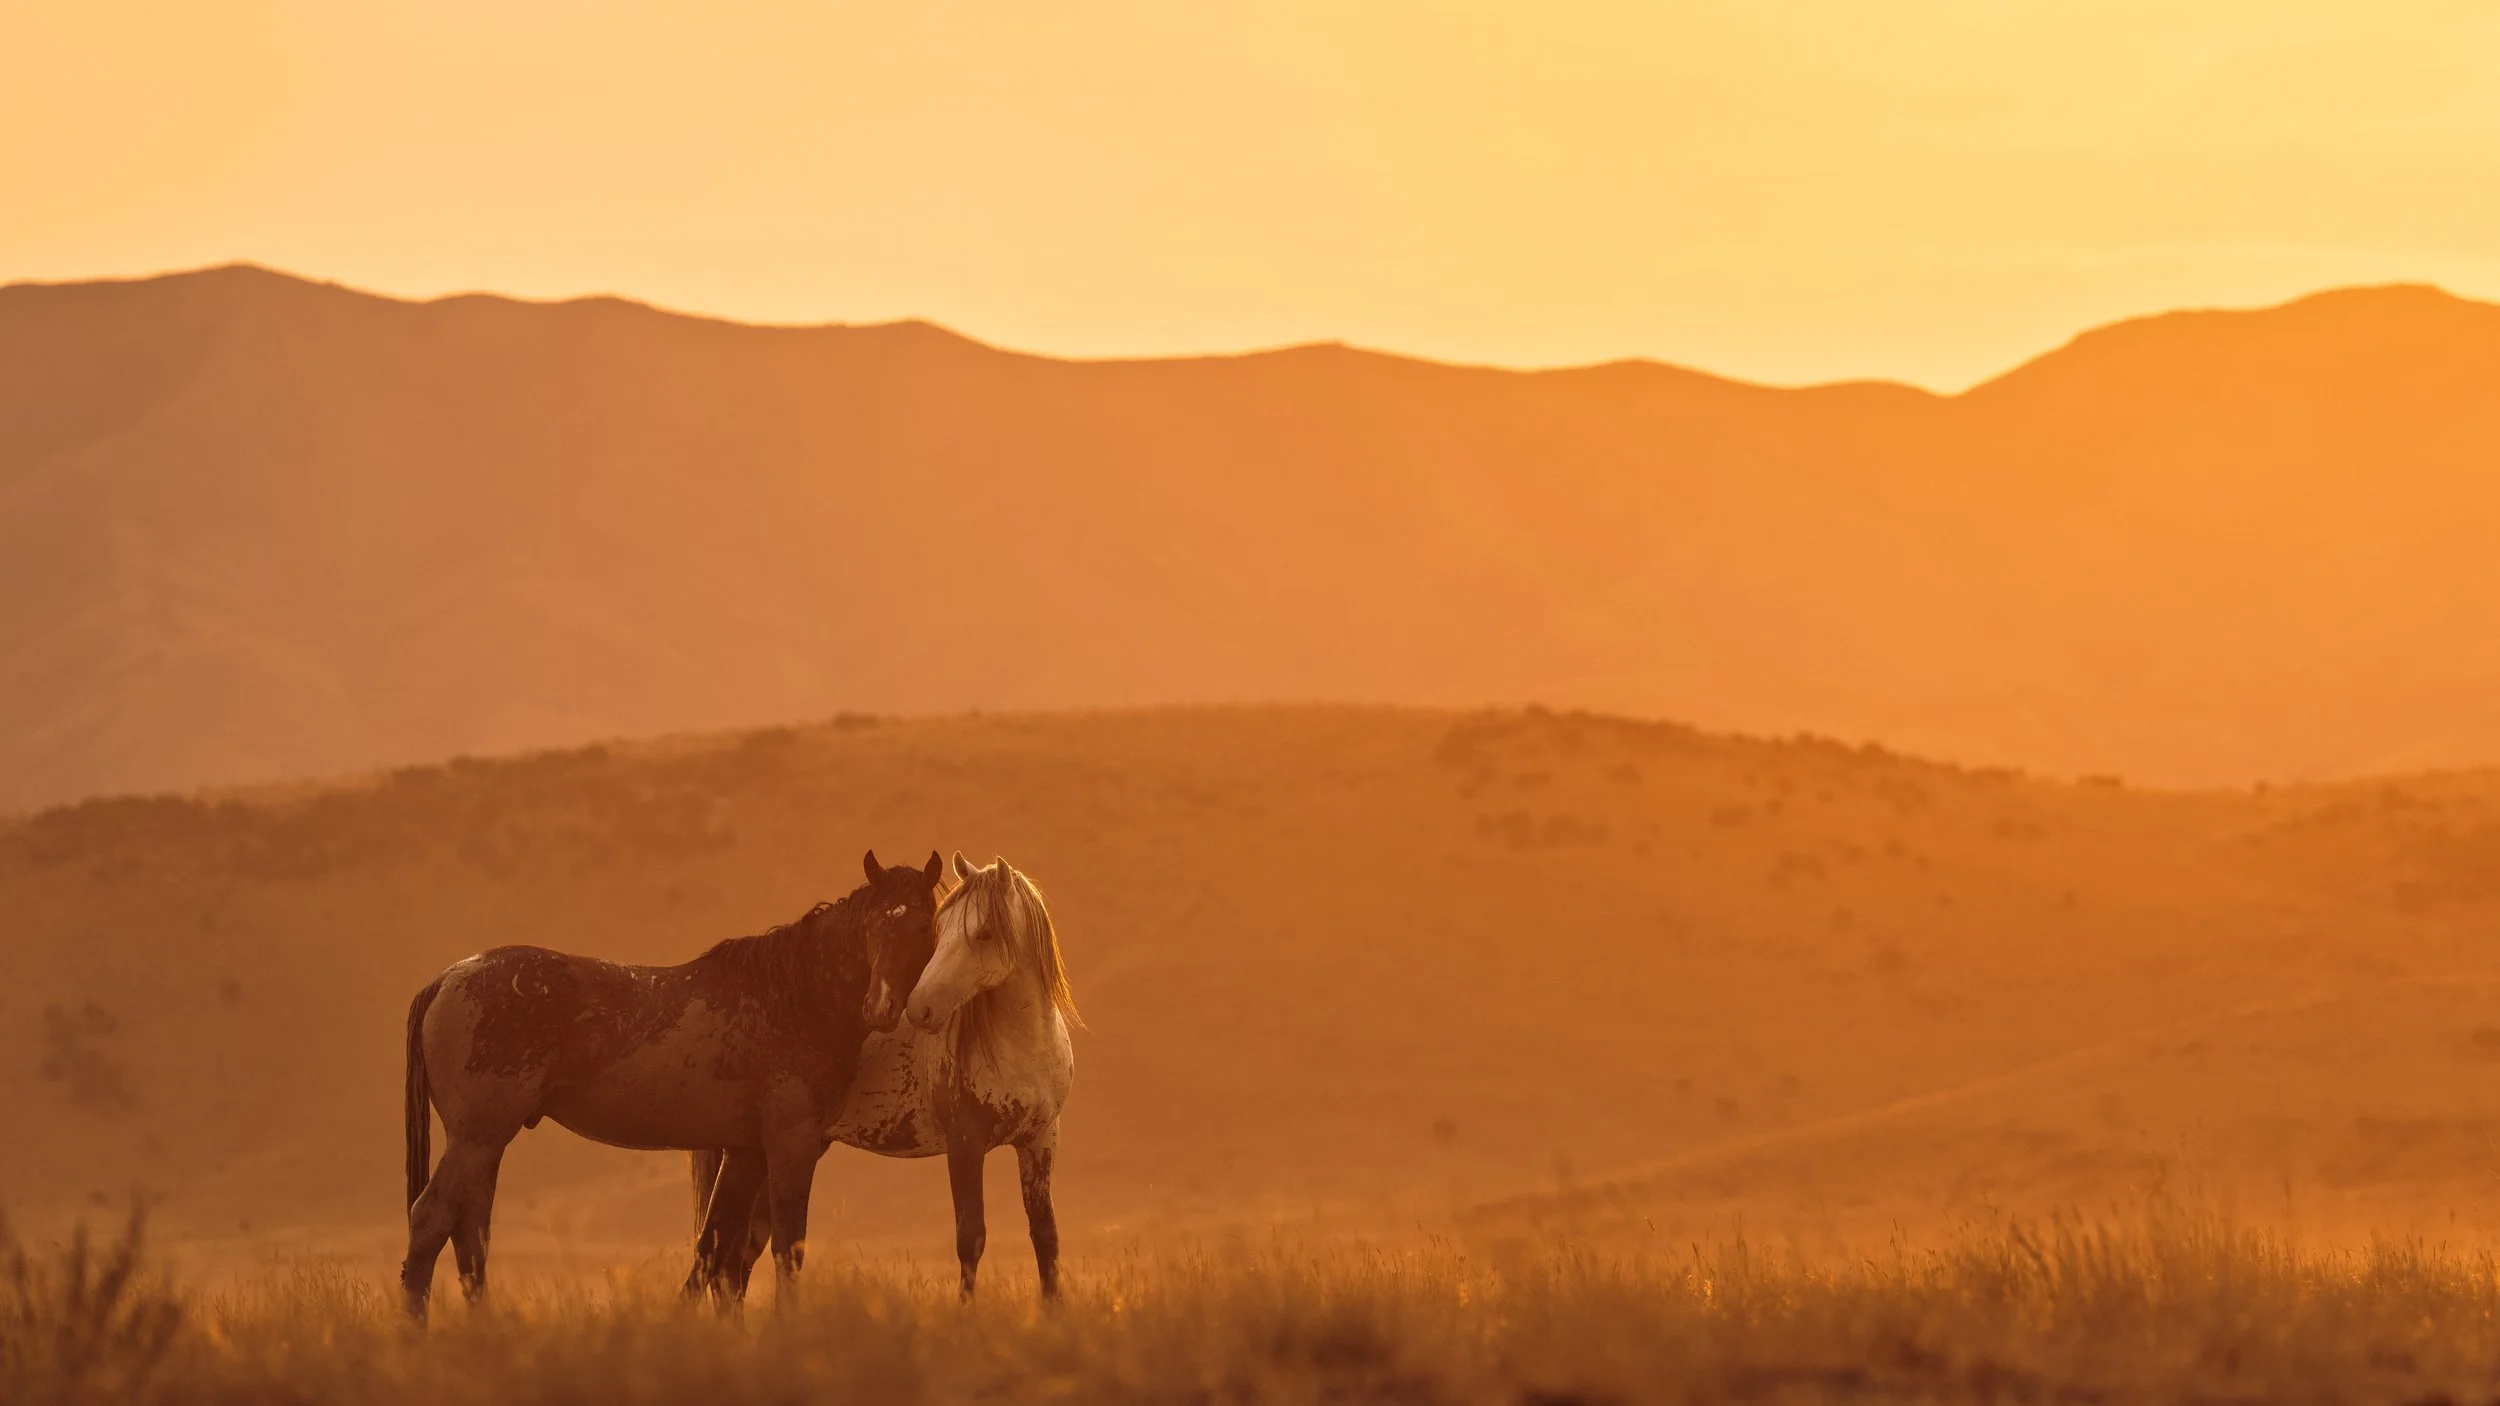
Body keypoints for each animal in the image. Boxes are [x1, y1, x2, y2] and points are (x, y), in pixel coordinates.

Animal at [398, 849, 946, 1320]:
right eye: (875, 926)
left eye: (924, 926)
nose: (880, 1007)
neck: (793, 997)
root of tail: (447, 978)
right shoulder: (792, 1144)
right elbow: (783, 1248)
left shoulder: (746, 1150)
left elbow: (716, 1247)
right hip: (476, 1138)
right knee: (431, 1221)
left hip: (485, 1144)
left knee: (469, 1234)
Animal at [687, 852, 1080, 1299]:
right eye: (940, 927)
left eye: (983, 933)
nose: (920, 1007)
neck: (1022, 1047)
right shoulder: (966, 1143)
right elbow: (971, 1239)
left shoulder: (1040, 1141)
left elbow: (1045, 1238)